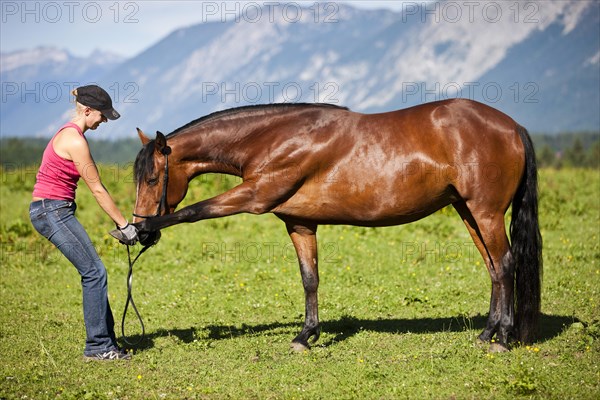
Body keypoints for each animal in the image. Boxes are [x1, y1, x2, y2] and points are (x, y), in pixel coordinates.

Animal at [132, 98, 544, 352]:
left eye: (152, 179)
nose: (143, 229)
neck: (276, 138)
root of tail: (513, 126)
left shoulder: (254, 196)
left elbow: (192, 211)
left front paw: (132, 231)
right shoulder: (300, 223)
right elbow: (309, 279)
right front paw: (305, 336)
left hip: (486, 212)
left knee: (505, 265)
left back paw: (503, 338)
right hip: (468, 211)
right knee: (493, 268)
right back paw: (487, 332)